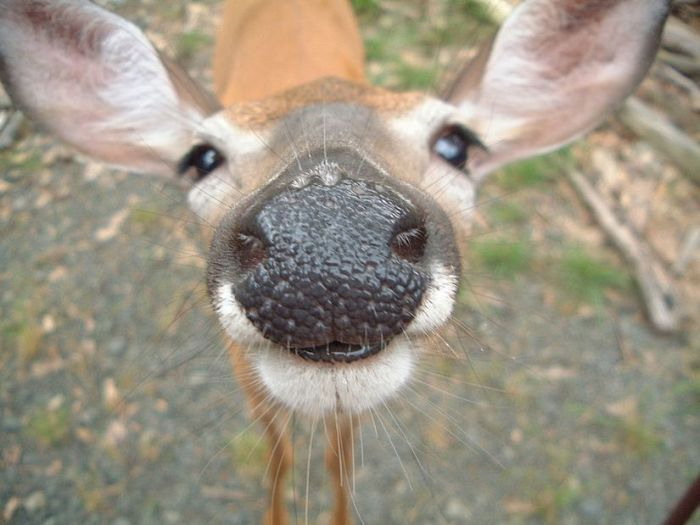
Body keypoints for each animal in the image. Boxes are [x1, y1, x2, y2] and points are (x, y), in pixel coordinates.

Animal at [0, 0, 671, 523]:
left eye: (457, 143)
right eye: (201, 157)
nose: (329, 245)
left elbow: (339, 458)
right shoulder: (243, 369)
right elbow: (277, 455)